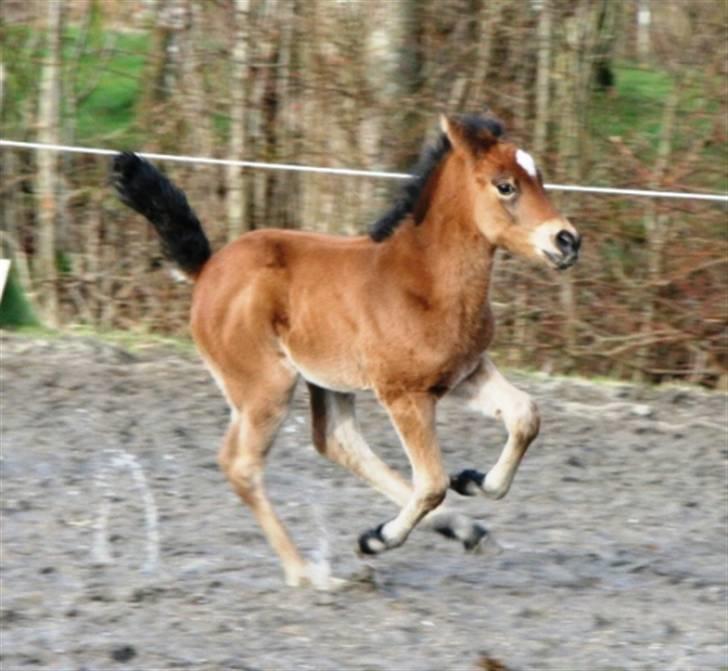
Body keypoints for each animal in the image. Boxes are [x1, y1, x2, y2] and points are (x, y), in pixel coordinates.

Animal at [112, 115, 580, 588]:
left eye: (540, 178)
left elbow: (525, 416)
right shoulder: (405, 394)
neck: (425, 281)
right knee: (242, 465)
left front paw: (470, 482)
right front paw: (382, 537)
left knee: (337, 442)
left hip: (324, 379)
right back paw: (307, 575)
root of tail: (208, 269)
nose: (567, 241)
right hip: (266, 387)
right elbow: (432, 481)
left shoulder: (465, 373)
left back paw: (464, 532)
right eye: (505, 186)